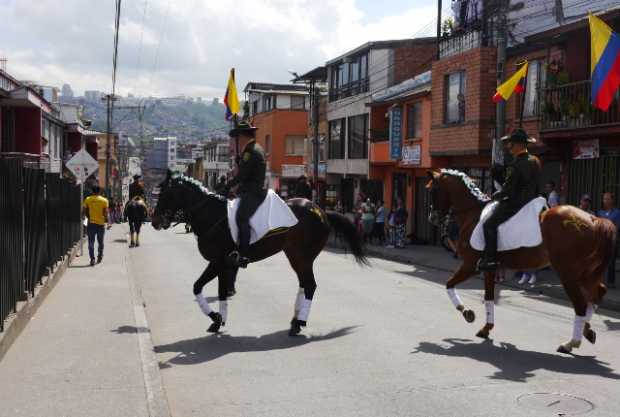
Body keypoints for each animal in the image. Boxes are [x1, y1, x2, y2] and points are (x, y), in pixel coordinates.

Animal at [151, 172, 368, 334]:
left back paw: (299, 322)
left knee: (310, 286)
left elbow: (197, 286)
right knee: (304, 285)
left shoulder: (217, 261)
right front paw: (219, 320)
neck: (211, 214)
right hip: (297, 257)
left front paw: (216, 317)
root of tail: (321, 211)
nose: (154, 221)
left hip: (302, 257)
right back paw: (295, 321)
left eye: (166, 194)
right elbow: (220, 292)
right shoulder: (224, 265)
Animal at [426, 168, 616, 352]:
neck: (474, 215)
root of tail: (593, 219)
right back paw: (587, 331)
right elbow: (489, 297)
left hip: (568, 273)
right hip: (586, 273)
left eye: (433, 190)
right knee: (598, 293)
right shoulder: (489, 268)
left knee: (581, 304)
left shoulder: (470, 266)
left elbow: (449, 284)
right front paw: (486, 328)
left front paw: (466, 312)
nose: (432, 218)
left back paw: (570, 343)